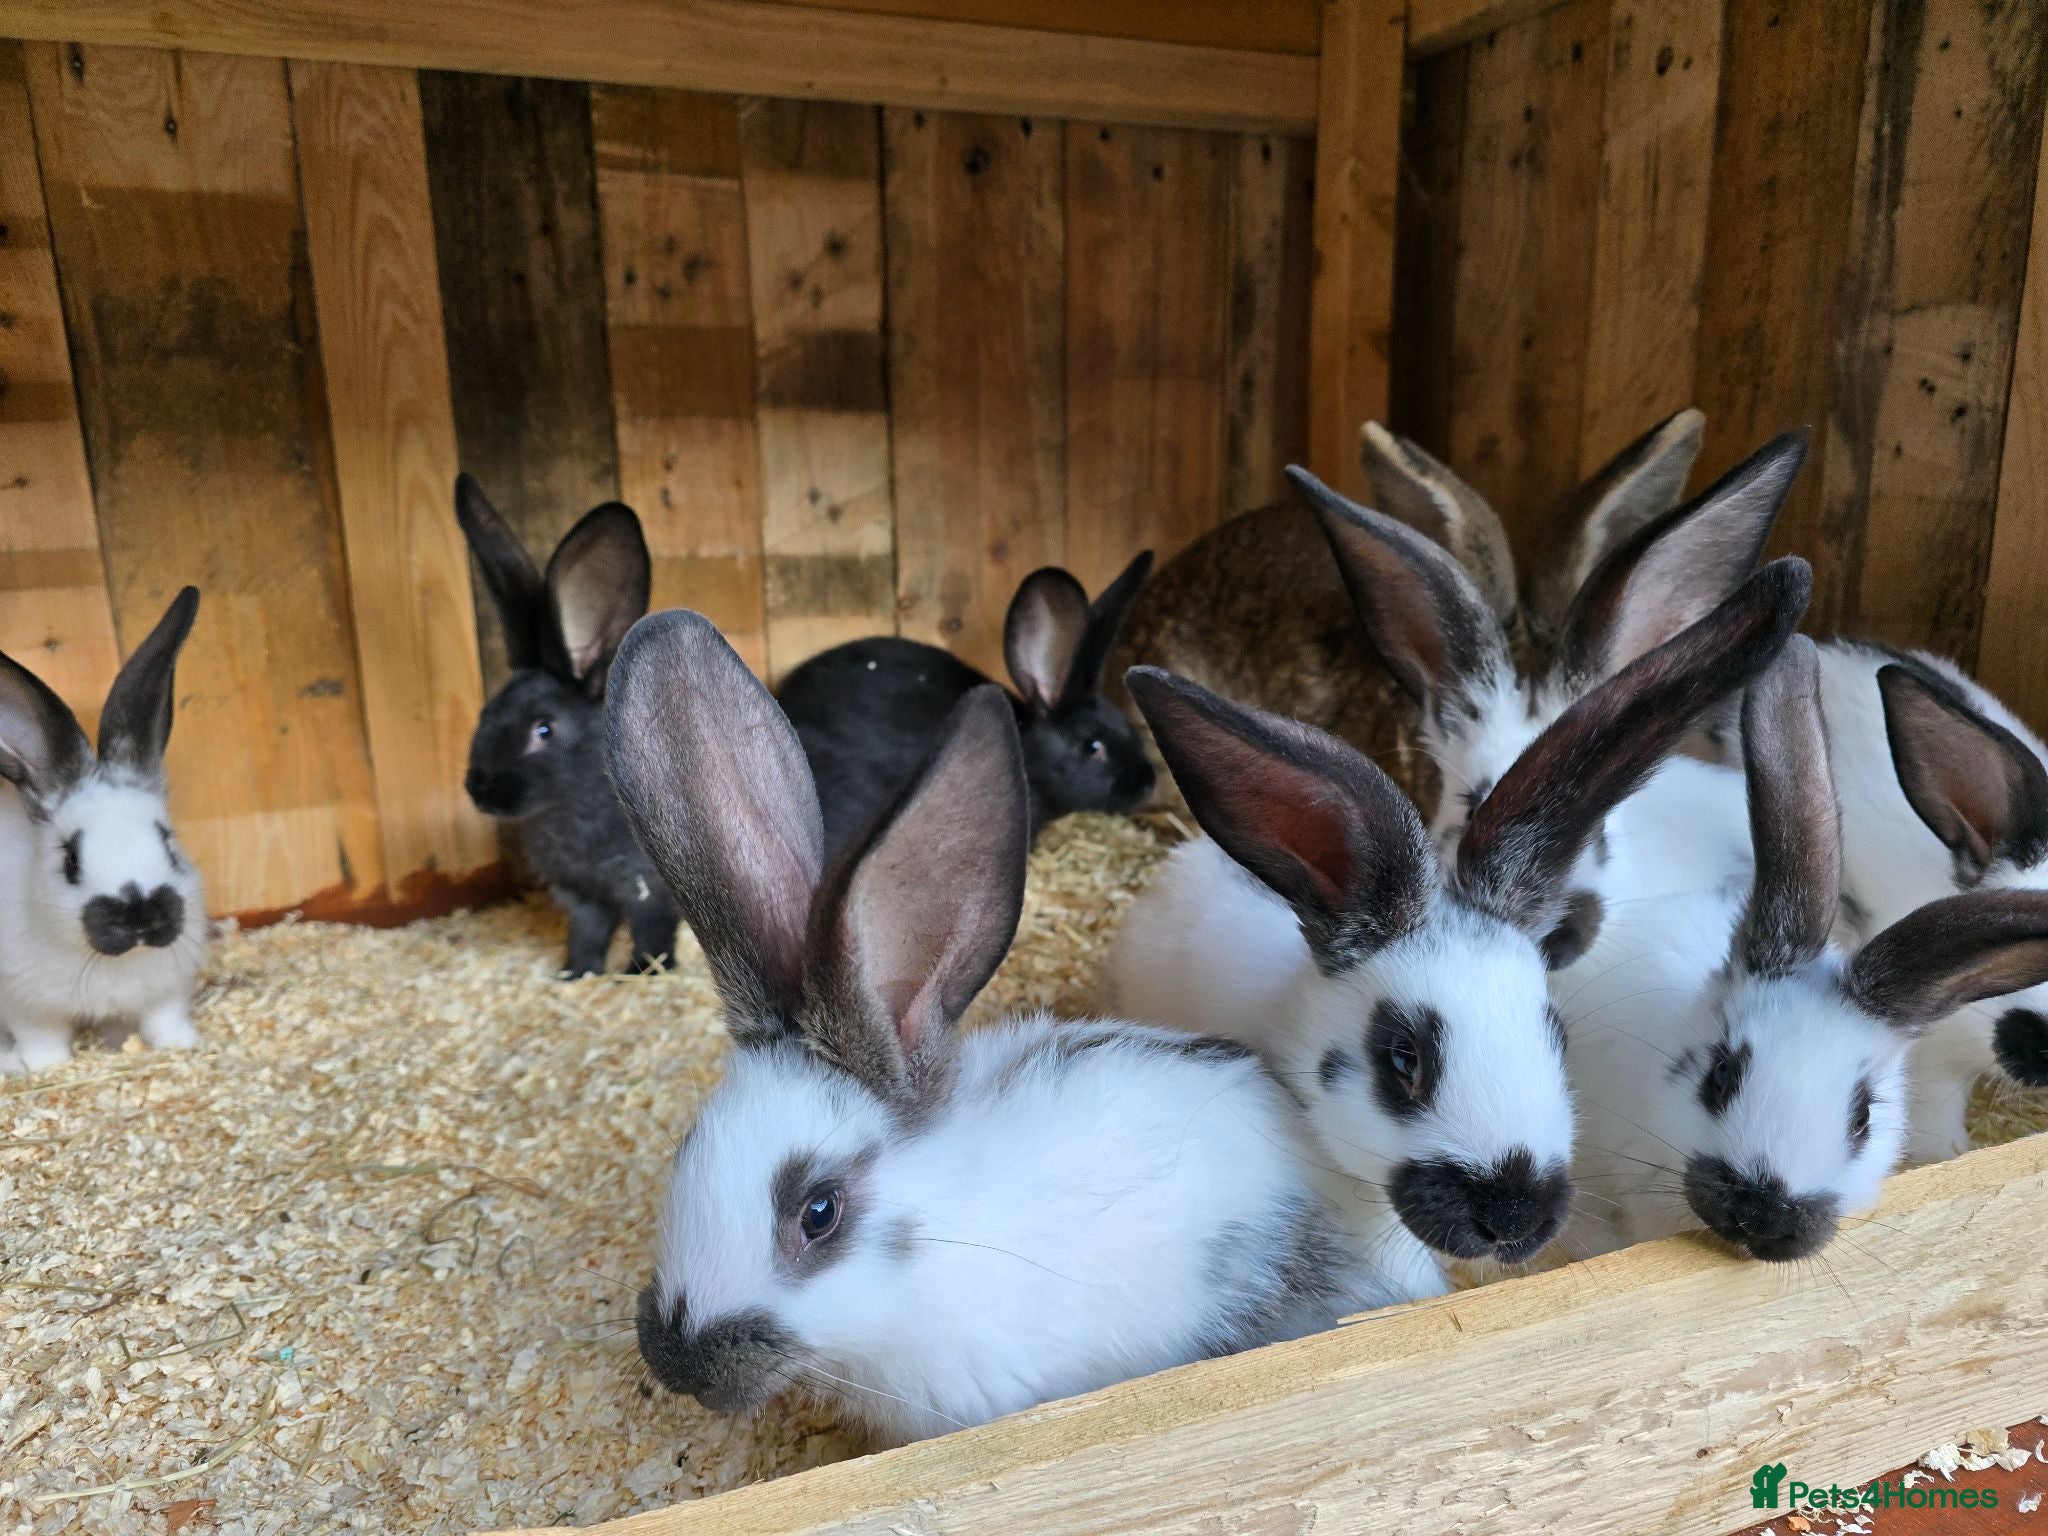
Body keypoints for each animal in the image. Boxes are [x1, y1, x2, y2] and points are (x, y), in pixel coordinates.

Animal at [0, 588, 207, 1073]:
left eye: (167, 841)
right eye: (70, 860)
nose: (141, 916)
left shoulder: (165, 992)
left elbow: (163, 1023)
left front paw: (182, 1046)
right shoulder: (24, 1006)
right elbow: (43, 1041)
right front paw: (44, 1068)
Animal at [454, 474, 678, 978]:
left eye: (544, 730)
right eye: (484, 714)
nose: (480, 791)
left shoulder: (649, 892)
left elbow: (653, 935)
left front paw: (639, 974)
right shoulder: (581, 897)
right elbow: (588, 934)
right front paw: (576, 974)